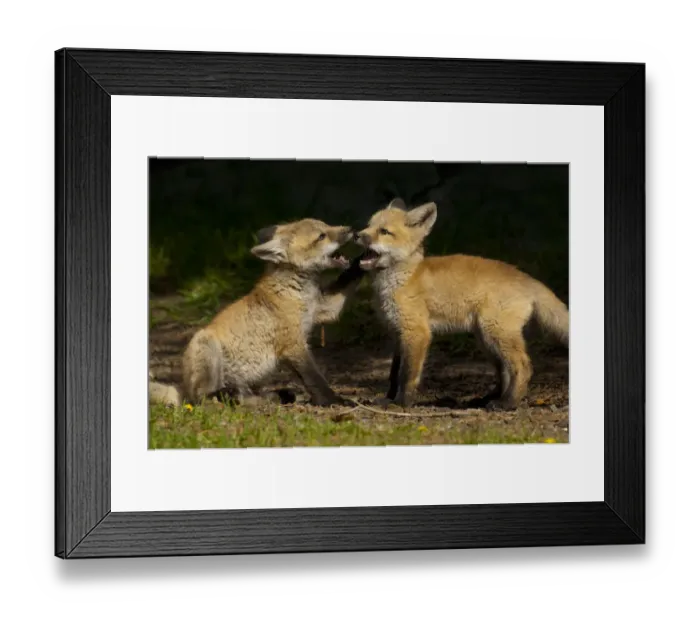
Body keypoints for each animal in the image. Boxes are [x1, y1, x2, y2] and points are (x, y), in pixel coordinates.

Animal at [149, 219, 364, 408]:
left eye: (327, 226)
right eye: (321, 236)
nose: (352, 230)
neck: (298, 292)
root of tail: (183, 388)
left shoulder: (323, 310)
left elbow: (347, 279)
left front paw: (365, 258)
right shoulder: (293, 345)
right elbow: (316, 380)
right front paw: (333, 401)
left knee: (248, 397)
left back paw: (264, 397)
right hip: (207, 347)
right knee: (203, 399)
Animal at [355, 199, 569, 410]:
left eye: (384, 231)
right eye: (368, 225)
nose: (357, 235)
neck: (401, 279)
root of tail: (526, 277)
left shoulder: (417, 332)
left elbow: (407, 374)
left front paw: (401, 404)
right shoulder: (397, 333)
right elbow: (393, 373)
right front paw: (389, 399)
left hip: (496, 333)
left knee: (523, 366)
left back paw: (508, 403)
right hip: (486, 339)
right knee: (504, 371)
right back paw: (490, 398)